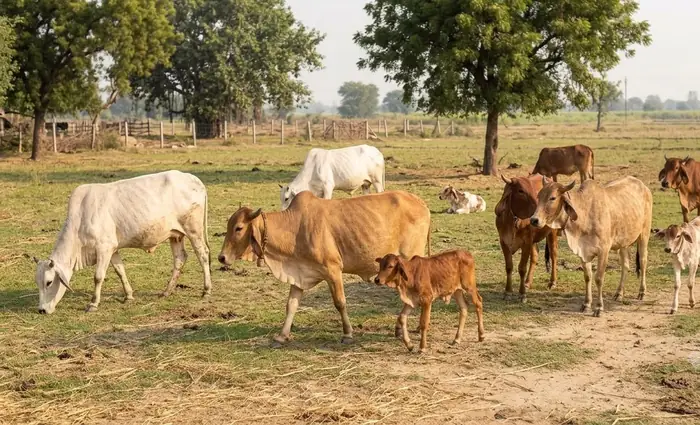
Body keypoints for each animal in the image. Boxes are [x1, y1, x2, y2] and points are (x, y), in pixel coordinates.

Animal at [33, 170, 211, 314]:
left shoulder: (104, 248)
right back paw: (166, 291)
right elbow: (120, 271)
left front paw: (93, 304)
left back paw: (206, 291)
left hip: (194, 230)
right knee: (180, 258)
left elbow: (98, 277)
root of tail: (193, 179)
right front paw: (129, 296)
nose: (42, 310)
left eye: (49, 282)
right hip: (175, 235)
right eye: (38, 282)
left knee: (202, 254)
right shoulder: (113, 249)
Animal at [218, 190, 431, 345]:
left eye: (238, 228)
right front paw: (282, 336)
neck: (295, 228)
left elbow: (340, 303)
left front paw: (347, 334)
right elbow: (291, 305)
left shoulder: (333, 270)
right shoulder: (299, 274)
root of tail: (421, 203)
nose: (222, 257)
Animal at [529, 176, 652, 316]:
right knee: (625, 264)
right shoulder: (583, 252)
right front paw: (586, 304)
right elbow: (587, 277)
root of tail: (643, 186)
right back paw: (619, 293)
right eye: (539, 196)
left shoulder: (603, 251)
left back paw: (642, 292)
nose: (534, 220)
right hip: (623, 242)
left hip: (644, 235)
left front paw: (598, 308)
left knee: (643, 261)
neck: (585, 213)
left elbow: (598, 278)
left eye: (553, 198)